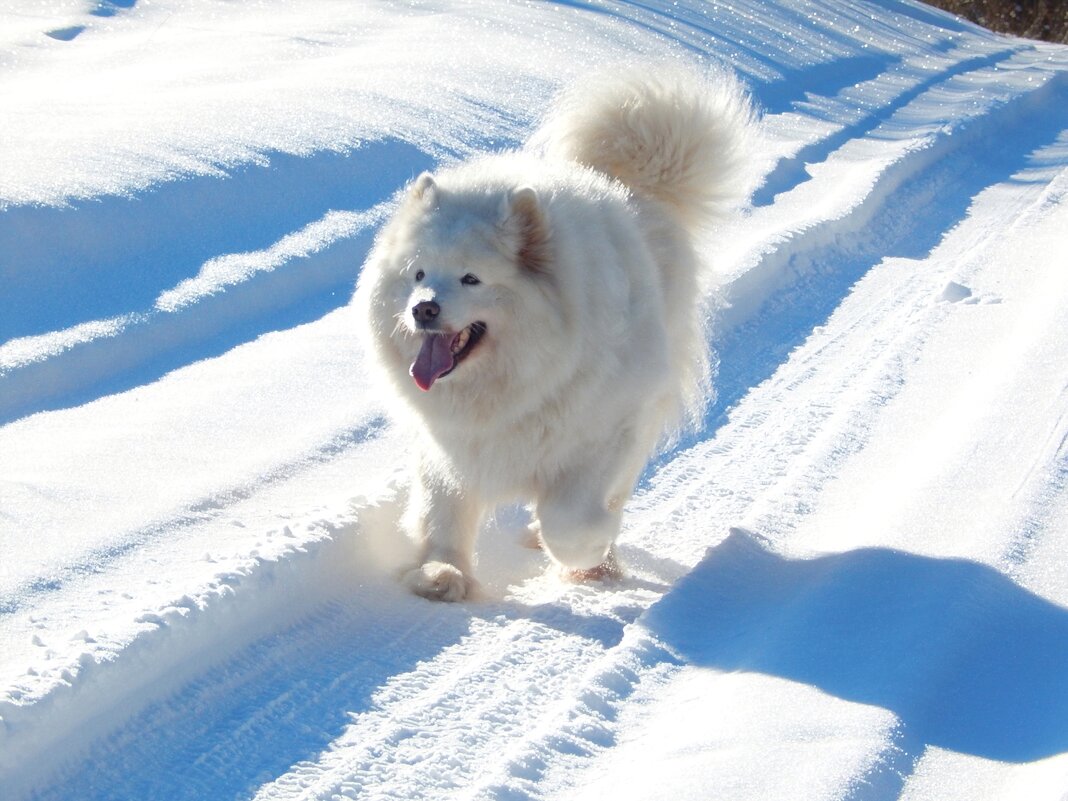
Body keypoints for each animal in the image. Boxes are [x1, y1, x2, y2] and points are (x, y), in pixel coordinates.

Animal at [354, 64, 756, 602]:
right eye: (418, 274)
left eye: (471, 278)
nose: (423, 309)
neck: (516, 382)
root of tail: (634, 189)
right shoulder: (449, 443)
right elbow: (444, 512)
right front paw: (442, 573)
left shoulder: (604, 433)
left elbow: (569, 521)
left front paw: (587, 556)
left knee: (611, 494)